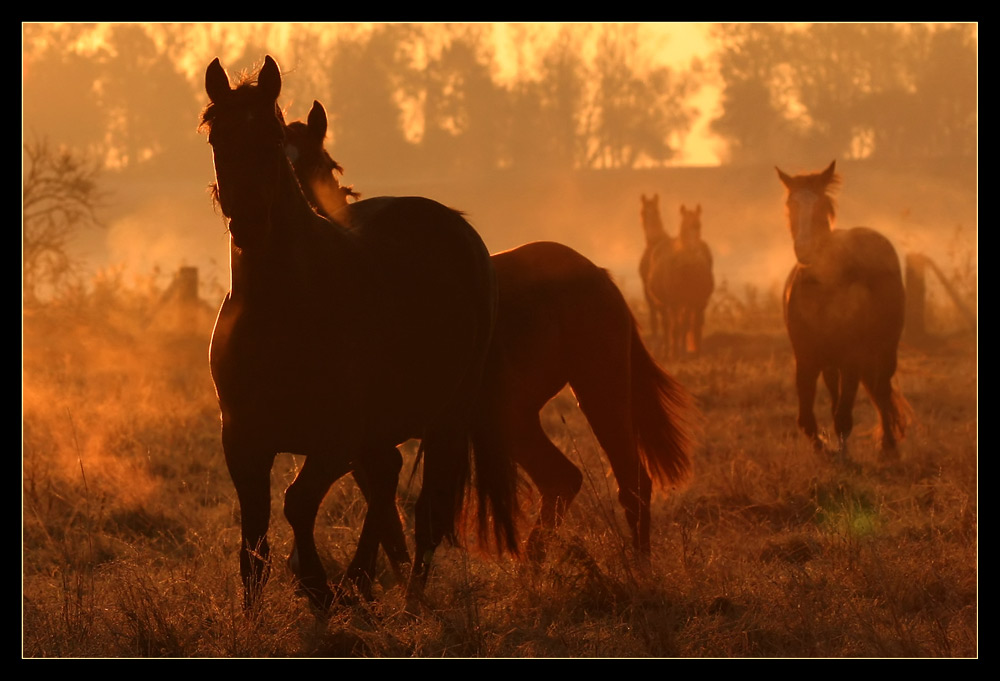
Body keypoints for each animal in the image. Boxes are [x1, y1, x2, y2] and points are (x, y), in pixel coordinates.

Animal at [200, 57, 520, 612]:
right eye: (218, 137)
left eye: (269, 137)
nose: (249, 222)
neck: (283, 311)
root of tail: (455, 225)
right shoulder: (242, 440)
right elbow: (254, 542)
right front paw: (262, 610)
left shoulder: (335, 439)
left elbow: (297, 504)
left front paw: (318, 587)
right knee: (387, 478)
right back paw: (362, 579)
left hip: (449, 418)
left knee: (426, 510)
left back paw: (405, 598)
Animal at [288, 101, 696, 572]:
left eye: (327, 166)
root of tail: (599, 275)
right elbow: (382, 511)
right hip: (515, 416)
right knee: (562, 479)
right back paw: (531, 569)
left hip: (597, 390)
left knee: (631, 481)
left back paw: (639, 569)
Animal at [776, 161, 912, 454]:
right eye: (791, 204)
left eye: (821, 205)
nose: (804, 249)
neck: (824, 289)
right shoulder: (806, 358)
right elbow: (807, 419)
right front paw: (822, 448)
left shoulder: (852, 358)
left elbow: (843, 418)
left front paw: (841, 453)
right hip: (832, 363)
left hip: (885, 350)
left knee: (882, 391)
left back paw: (888, 447)